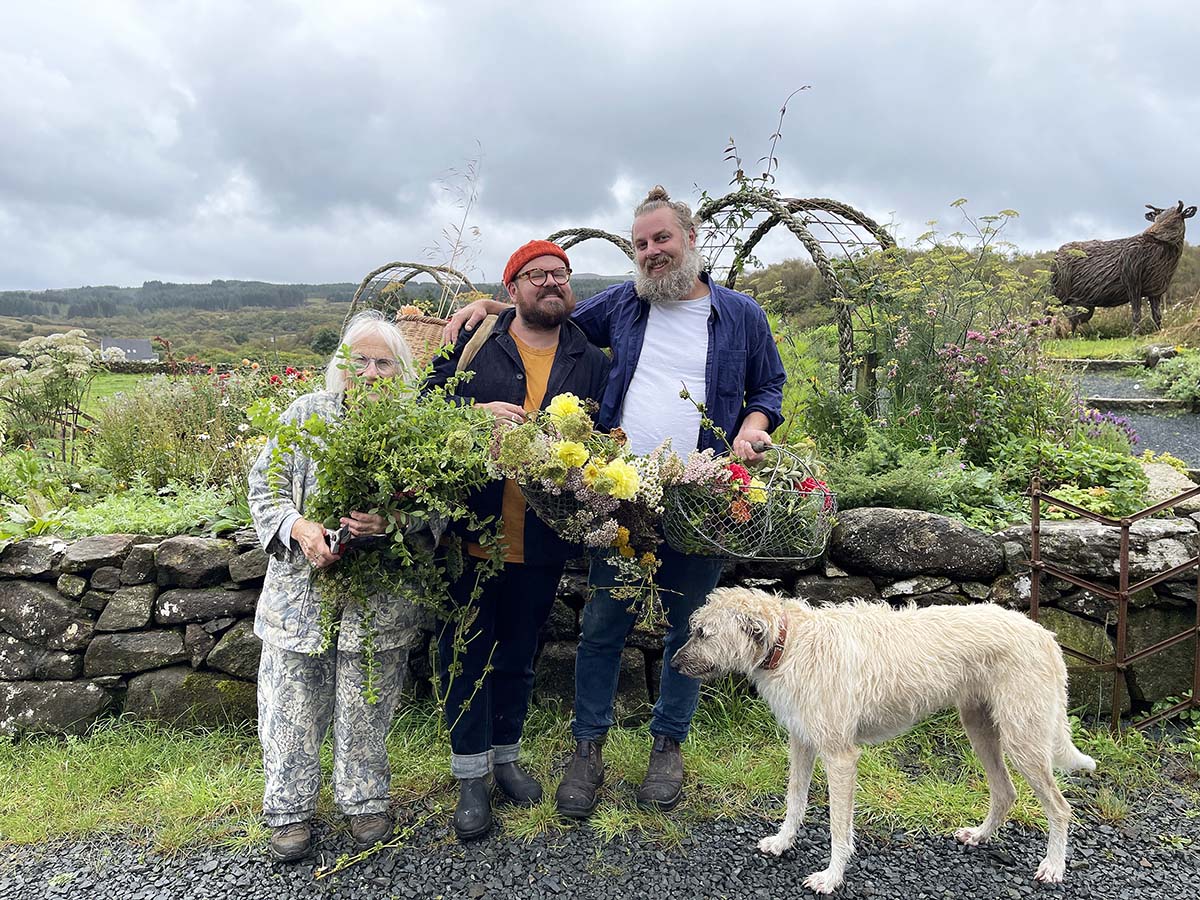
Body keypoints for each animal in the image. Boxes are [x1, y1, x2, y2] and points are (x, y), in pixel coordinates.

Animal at [676, 585, 1099, 897]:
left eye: (703, 633)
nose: (675, 665)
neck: (790, 642)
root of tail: (1044, 635)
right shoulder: (802, 742)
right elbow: (795, 800)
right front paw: (783, 843)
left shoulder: (840, 757)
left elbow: (838, 826)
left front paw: (831, 877)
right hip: (981, 730)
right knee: (1005, 792)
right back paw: (980, 836)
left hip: (1023, 740)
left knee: (1061, 808)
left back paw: (1053, 866)